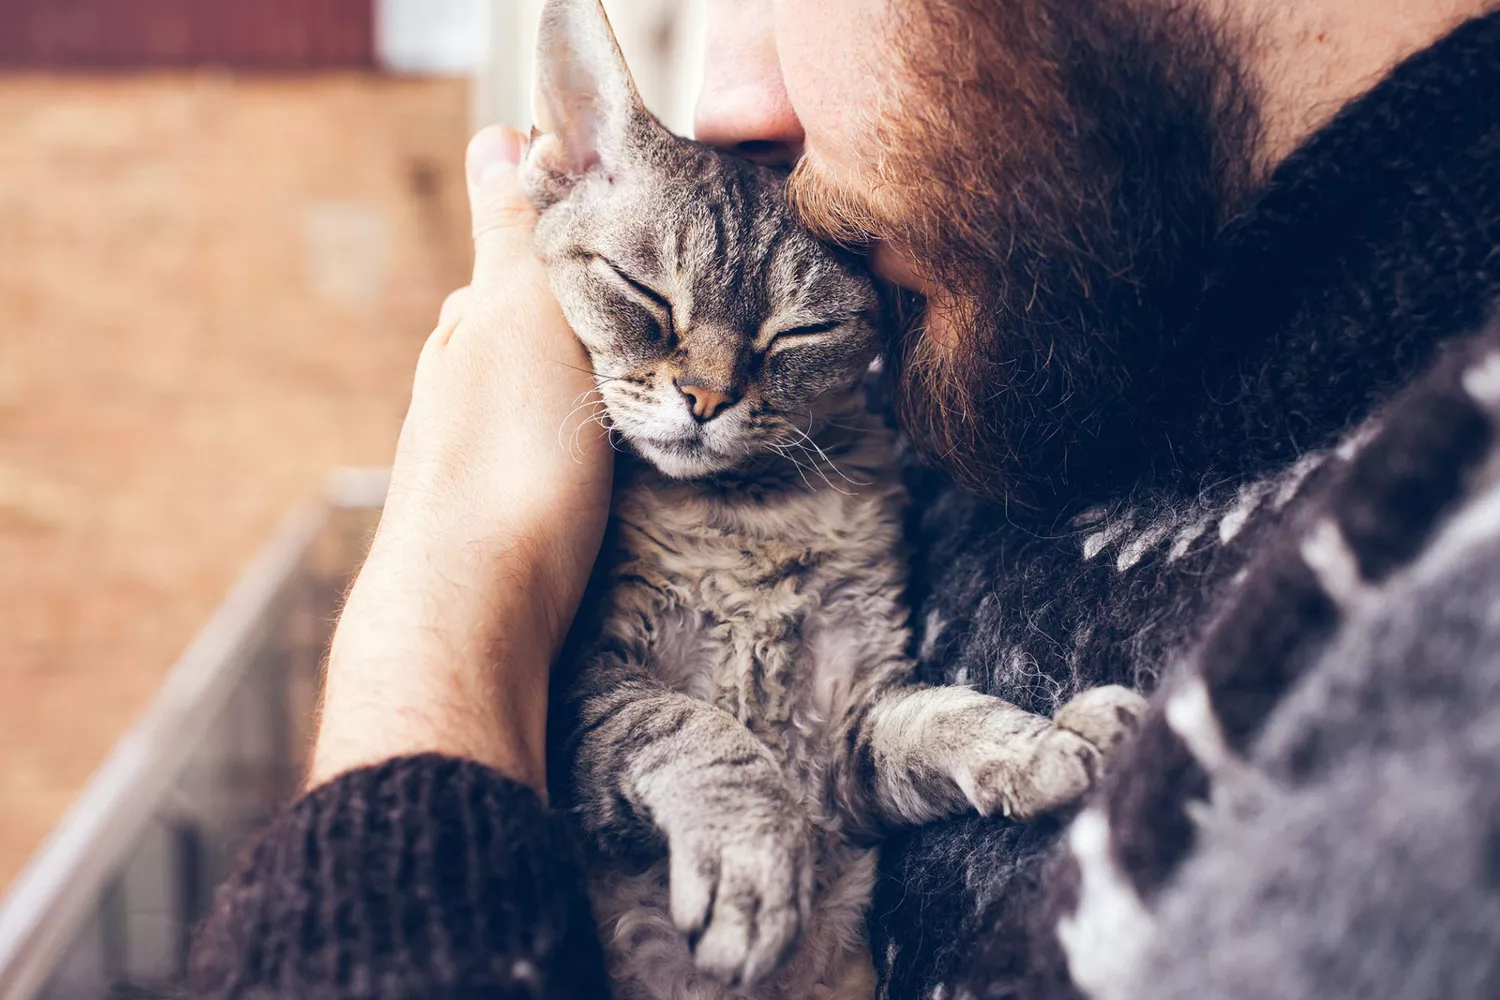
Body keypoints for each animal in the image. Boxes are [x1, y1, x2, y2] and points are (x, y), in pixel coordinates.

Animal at [519, 3, 1146, 995]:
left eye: (799, 333)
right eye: (643, 292)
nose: (705, 397)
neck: (747, 518)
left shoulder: (851, 726)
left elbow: (938, 715)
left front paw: (1034, 741)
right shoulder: (580, 687)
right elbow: (698, 730)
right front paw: (753, 861)